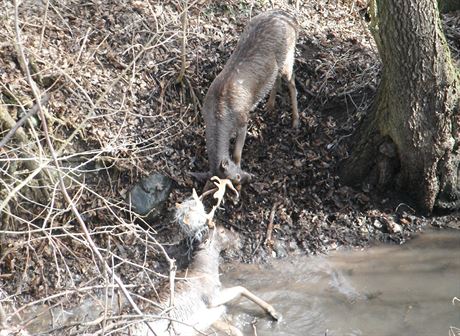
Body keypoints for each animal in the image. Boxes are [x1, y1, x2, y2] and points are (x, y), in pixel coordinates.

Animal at [130, 224, 280, 334]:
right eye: (222, 231)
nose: (239, 237)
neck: (206, 271)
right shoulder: (212, 298)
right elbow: (241, 288)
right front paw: (273, 312)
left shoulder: (208, 317)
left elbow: (235, 330)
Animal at [196, 9, 300, 185]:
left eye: (236, 177)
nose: (250, 178)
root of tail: (291, 19)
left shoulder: (243, 118)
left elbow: (237, 154)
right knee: (276, 77)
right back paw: (270, 106)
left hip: (288, 55)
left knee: (292, 80)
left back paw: (295, 121)